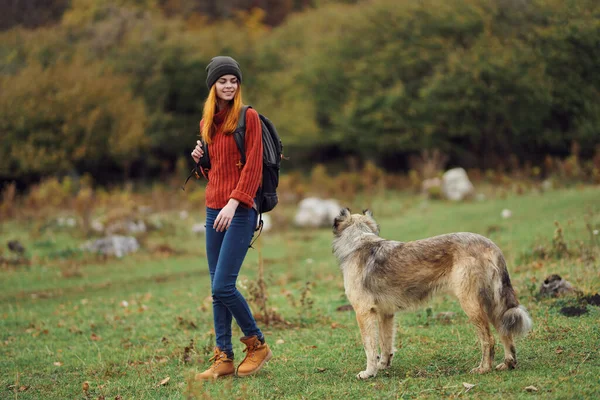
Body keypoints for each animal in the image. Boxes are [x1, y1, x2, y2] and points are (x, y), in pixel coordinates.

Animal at [332, 208, 536, 380]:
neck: (359, 242)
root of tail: (491, 245)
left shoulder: (364, 313)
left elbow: (369, 346)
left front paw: (368, 372)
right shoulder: (386, 314)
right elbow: (385, 343)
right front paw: (383, 366)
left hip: (471, 305)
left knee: (489, 339)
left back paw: (483, 368)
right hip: (493, 304)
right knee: (504, 332)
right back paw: (508, 364)